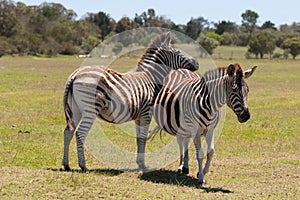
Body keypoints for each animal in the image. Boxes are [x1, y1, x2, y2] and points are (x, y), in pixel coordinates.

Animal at [61, 32, 199, 171]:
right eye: (178, 52)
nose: (197, 63)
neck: (150, 78)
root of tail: (75, 74)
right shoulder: (146, 114)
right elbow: (143, 139)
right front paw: (143, 165)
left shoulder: (138, 116)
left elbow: (138, 139)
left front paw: (139, 163)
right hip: (90, 109)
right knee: (80, 134)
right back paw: (83, 165)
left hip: (76, 110)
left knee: (68, 132)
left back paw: (66, 164)